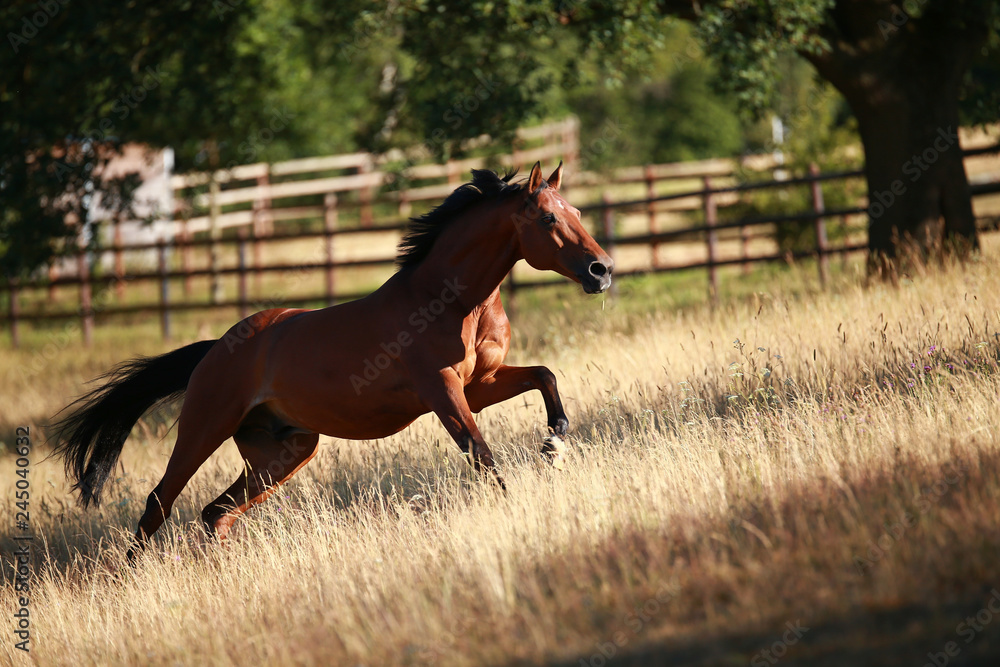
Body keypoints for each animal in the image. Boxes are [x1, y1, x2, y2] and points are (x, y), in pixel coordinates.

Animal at [52, 162, 613, 561]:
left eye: (577, 213)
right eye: (548, 217)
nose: (602, 270)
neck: (453, 301)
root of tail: (213, 349)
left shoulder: (482, 383)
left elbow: (545, 376)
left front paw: (554, 443)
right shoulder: (444, 392)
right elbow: (483, 456)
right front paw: (515, 497)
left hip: (287, 449)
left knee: (216, 513)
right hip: (204, 428)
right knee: (159, 504)